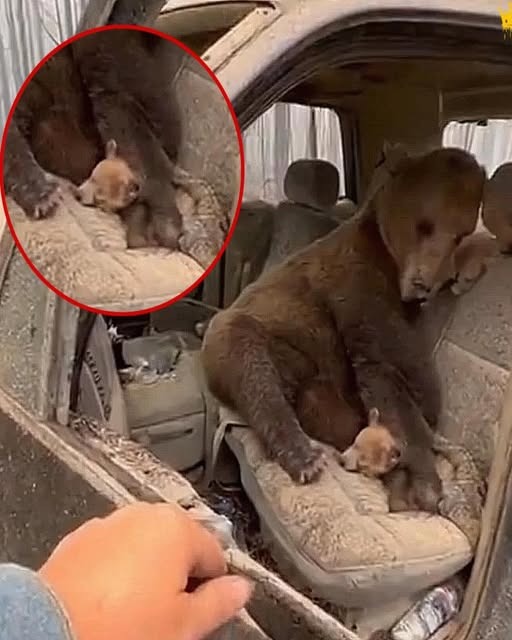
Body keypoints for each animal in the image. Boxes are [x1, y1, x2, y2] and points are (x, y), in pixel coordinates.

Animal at [201, 146, 486, 512]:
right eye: (425, 226)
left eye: (459, 235)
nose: (423, 283)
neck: (389, 262)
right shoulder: (358, 287)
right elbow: (385, 369)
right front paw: (421, 484)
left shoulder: (401, 312)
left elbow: (412, 369)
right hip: (251, 333)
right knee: (256, 378)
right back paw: (306, 458)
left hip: (308, 366)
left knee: (318, 403)